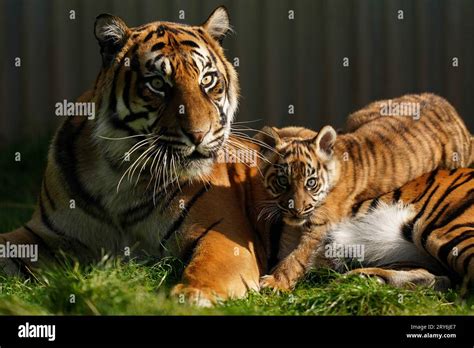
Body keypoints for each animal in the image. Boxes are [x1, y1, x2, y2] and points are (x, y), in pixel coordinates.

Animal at [0, 6, 266, 306]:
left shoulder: (222, 235)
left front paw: (191, 295)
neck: (119, 175)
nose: (199, 135)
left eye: (207, 80)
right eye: (158, 83)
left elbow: (208, 266)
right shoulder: (45, 234)